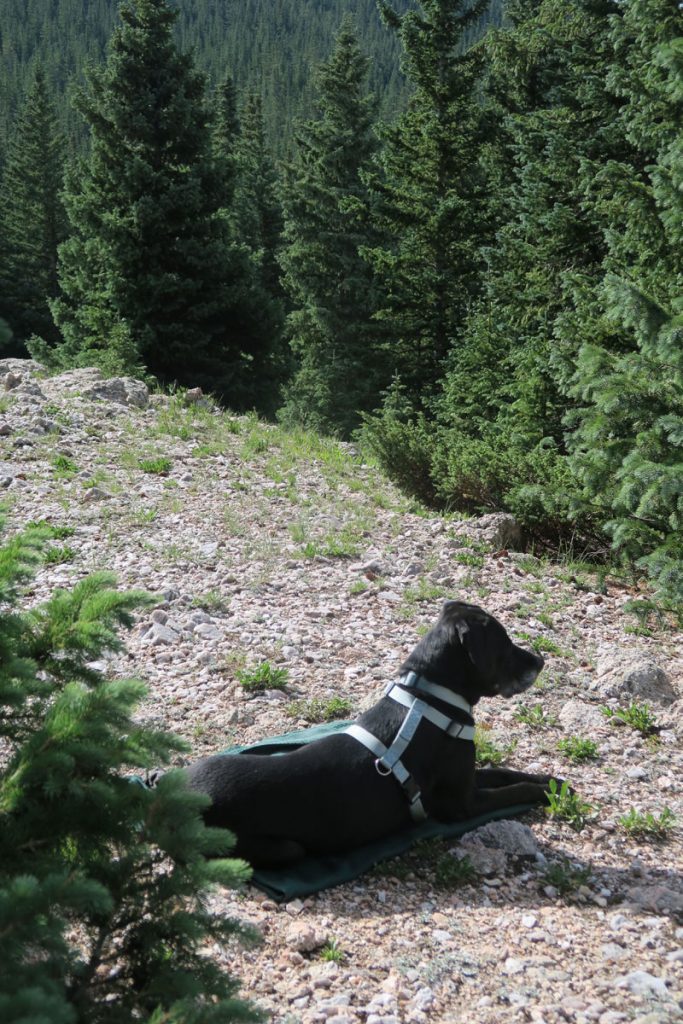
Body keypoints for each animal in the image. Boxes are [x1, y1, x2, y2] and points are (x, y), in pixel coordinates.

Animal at [183, 598, 561, 864]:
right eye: (504, 644)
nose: (541, 661)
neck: (429, 695)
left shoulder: (467, 777)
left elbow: (505, 772)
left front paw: (552, 781)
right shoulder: (461, 804)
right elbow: (514, 790)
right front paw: (543, 792)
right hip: (282, 847)